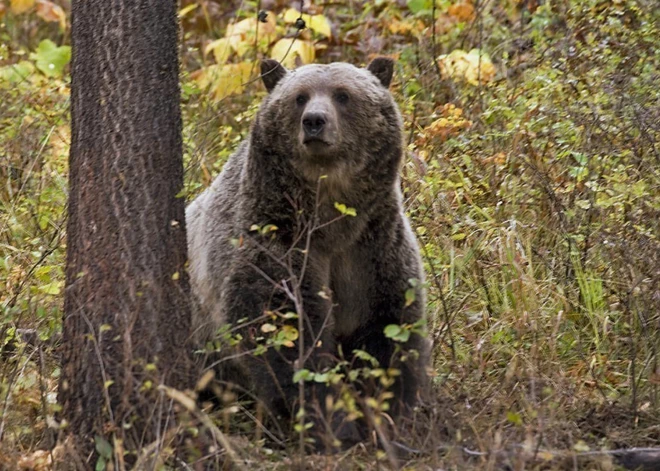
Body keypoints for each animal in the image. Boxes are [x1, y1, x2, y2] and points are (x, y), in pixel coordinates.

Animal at [186, 57, 428, 448]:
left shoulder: (372, 248)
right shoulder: (276, 239)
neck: (331, 218)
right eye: (299, 96)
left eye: (343, 94)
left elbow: (387, 329)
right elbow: (287, 332)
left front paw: (388, 414)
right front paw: (330, 424)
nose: (314, 120)